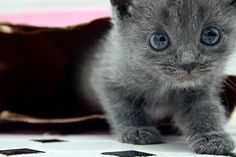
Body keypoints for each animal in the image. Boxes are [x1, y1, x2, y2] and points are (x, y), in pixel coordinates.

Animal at [82, 0, 236, 155]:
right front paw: (136, 129)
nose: (188, 63)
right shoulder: (108, 76)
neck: (162, 86)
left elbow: (205, 109)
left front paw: (212, 137)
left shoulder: (200, 89)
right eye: (159, 40)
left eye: (211, 35)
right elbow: (123, 107)